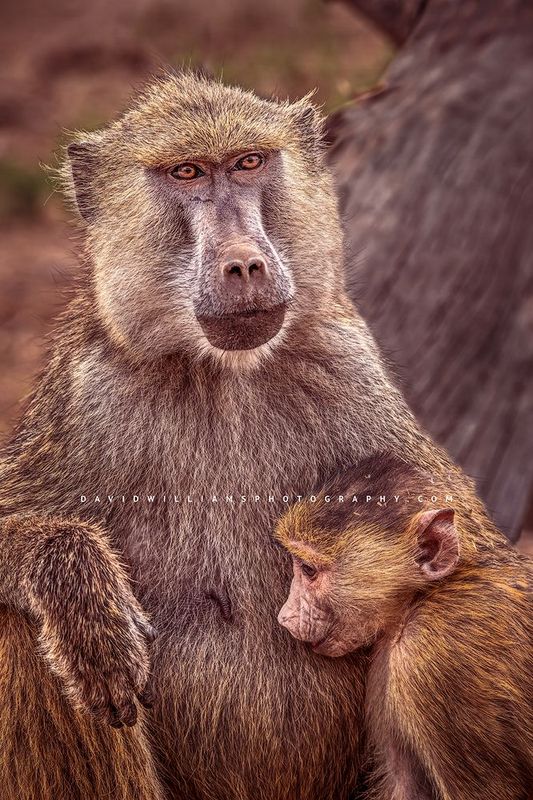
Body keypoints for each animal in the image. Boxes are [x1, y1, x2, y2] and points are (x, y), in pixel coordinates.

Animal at [0, 70, 506, 800]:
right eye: (186, 172)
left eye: (248, 163)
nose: (243, 265)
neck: (224, 377)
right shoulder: (88, 394)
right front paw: (78, 593)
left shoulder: (348, 366)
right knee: (20, 629)